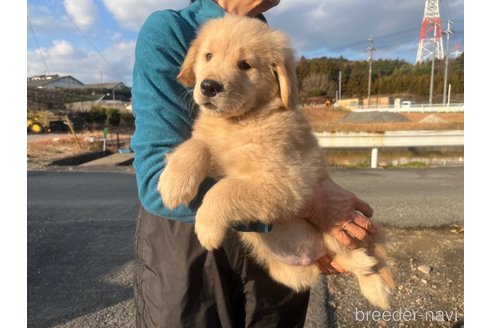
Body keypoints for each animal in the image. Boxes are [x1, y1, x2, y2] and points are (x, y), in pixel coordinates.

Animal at [158, 14, 392, 308]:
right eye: (208, 56)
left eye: (245, 65)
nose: (208, 86)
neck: (239, 122)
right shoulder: (213, 146)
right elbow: (196, 145)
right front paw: (173, 184)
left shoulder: (286, 181)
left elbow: (224, 189)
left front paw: (207, 228)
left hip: (342, 229)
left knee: (366, 261)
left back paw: (375, 285)